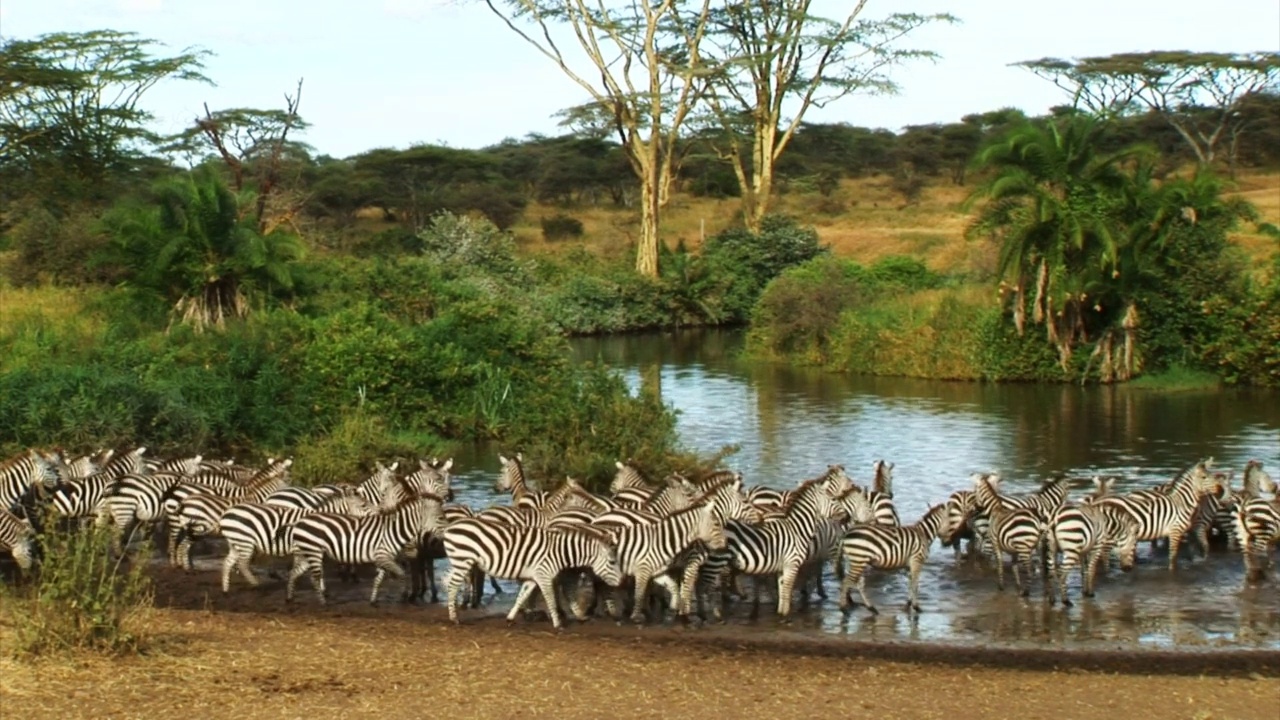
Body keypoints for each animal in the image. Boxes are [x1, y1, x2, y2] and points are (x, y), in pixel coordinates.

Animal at [215, 489, 373, 591]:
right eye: (364, 505)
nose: (378, 513)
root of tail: (227, 513)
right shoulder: (304, 547)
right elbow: (312, 567)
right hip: (244, 541)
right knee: (242, 564)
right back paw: (255, 583)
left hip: (236, 542)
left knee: (227, 563)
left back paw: (225, 589)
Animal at [285, 489, 445, 602]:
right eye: (440, 518)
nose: (446, 534)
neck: (394, 530)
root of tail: (300, 521)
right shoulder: (383, 556)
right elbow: (401, 573)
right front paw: (405, 595)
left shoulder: (382, 558)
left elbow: (378, 580)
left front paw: (373, 600)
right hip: (314, 553)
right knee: (313, 577)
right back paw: (322, 602)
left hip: (307, 552)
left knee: (294, 572)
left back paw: (289, 598)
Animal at [442, 515, 622, 627]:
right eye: (612, 562)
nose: (621, 582)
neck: (559, 552)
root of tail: (450, 526)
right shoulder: (544, 575)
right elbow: (550, 599)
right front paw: (558, 624)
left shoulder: (532, 577)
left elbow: (521, 596)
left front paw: (510, 618)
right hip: (463, 561)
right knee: (452, 586)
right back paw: (454, 618)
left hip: (458, 562)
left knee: (448, 581)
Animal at [1095, 456, 1223, 568]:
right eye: (1204, 477)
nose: (1221, 490)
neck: (1181, 503)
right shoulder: (1175, 531)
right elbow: (1173, 556)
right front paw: (1172, 570)